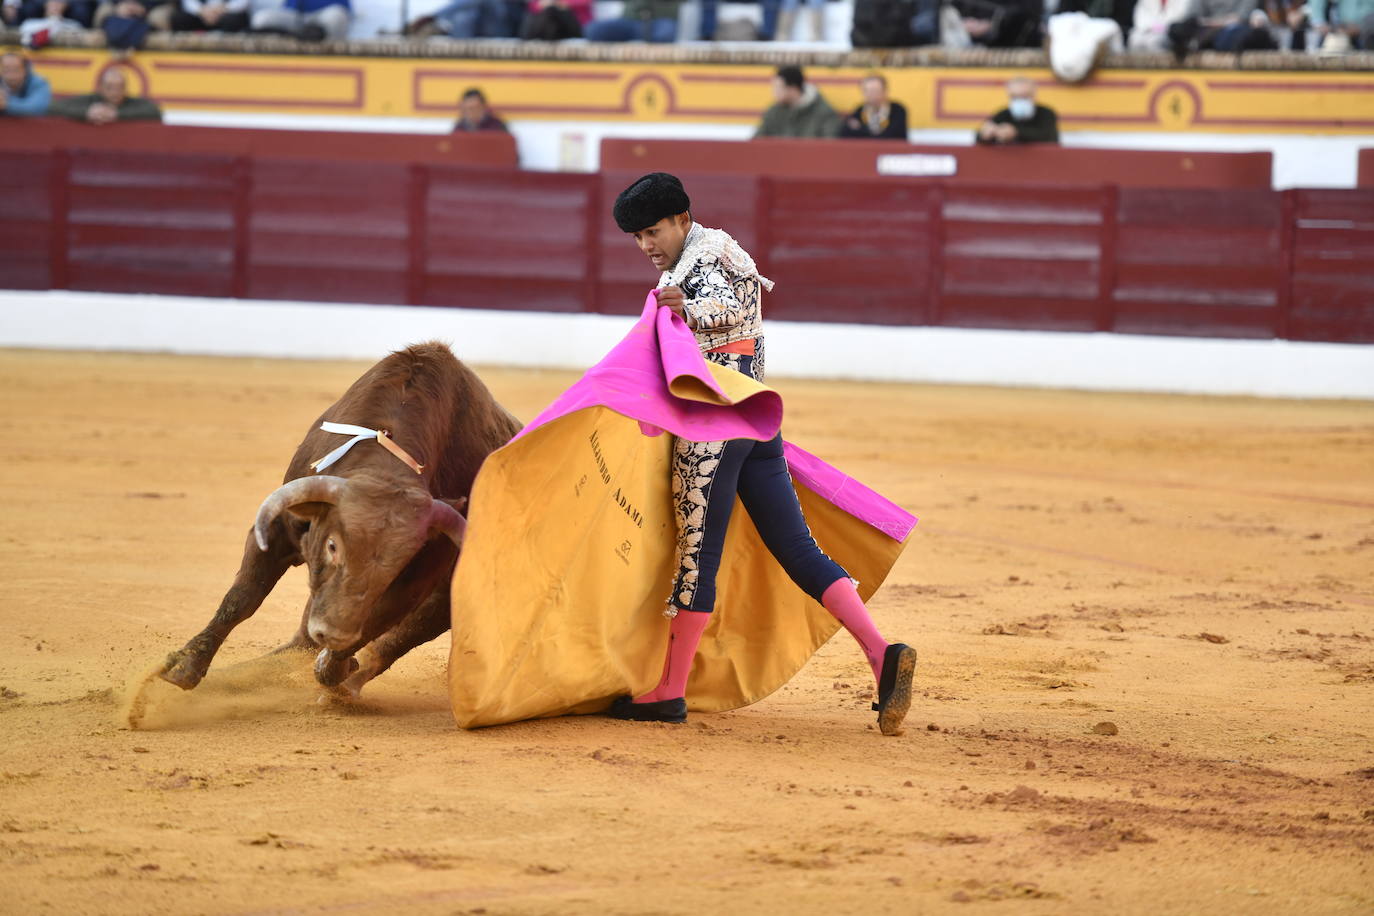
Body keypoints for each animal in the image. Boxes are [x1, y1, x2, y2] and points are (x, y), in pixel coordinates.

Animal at [159, 341, 519, 694]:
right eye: (332, 546)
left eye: (396, 565)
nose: (332, 633)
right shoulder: (276, 529)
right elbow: (242, 597)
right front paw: (184, 666)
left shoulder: (419, 578)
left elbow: (374, 626)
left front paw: (336, 668)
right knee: (303, 639)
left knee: (391, 642)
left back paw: (342, 687)